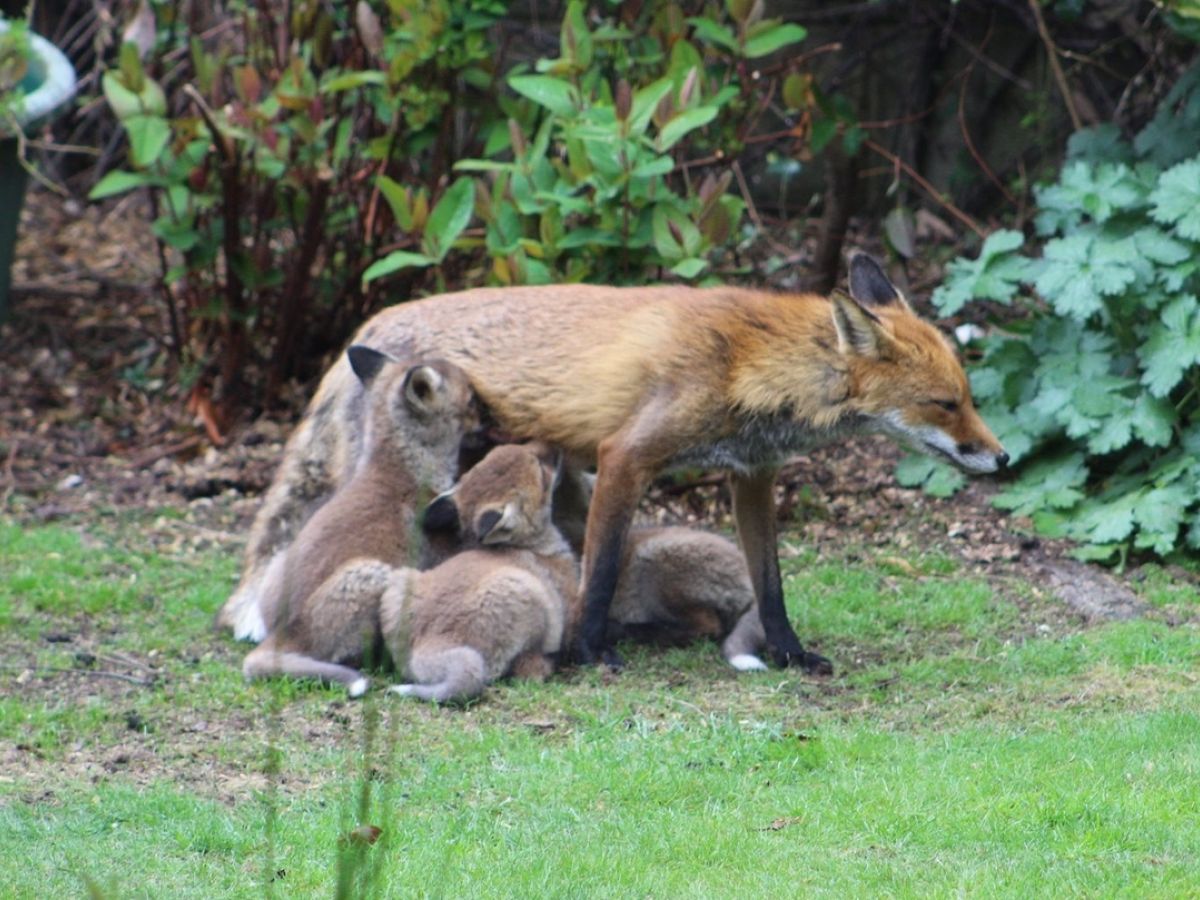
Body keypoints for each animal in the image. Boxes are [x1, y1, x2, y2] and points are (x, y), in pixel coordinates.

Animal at [218, 252, 1003, 672]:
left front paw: (789, 654)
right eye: (944, 404)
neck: (746, 362)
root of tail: (371, 324)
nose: (1000, 457)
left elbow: (771, 585)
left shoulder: (751, 475)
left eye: (968, 397)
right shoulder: (625, 457)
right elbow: (595, 578)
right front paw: (592, 652)